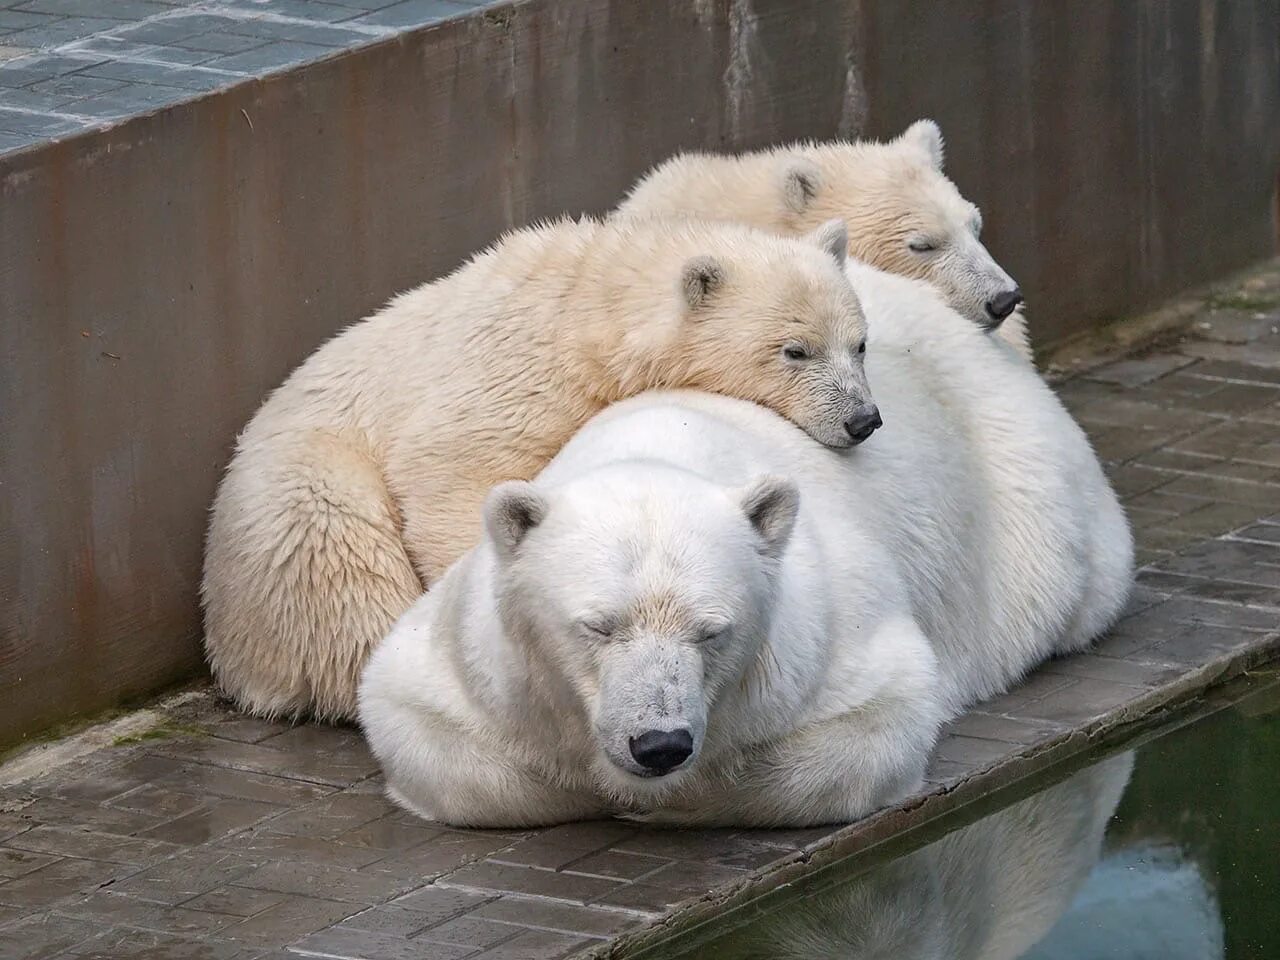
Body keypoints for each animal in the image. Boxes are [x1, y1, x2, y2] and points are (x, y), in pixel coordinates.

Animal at [202, 213, 880, 721]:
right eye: (795, 350)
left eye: (860, 342)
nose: (863, 420)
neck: (588, 316)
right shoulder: (506, 376)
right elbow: (450, 468)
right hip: (307, 502)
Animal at [358, 261, 1131, 829]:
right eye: (597, 627)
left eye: (711, 631)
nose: (659, 744)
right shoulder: (477, 657)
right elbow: (422, 725)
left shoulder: (827, 637)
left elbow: (868, 727)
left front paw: (659, 797)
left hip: (1027, 501)